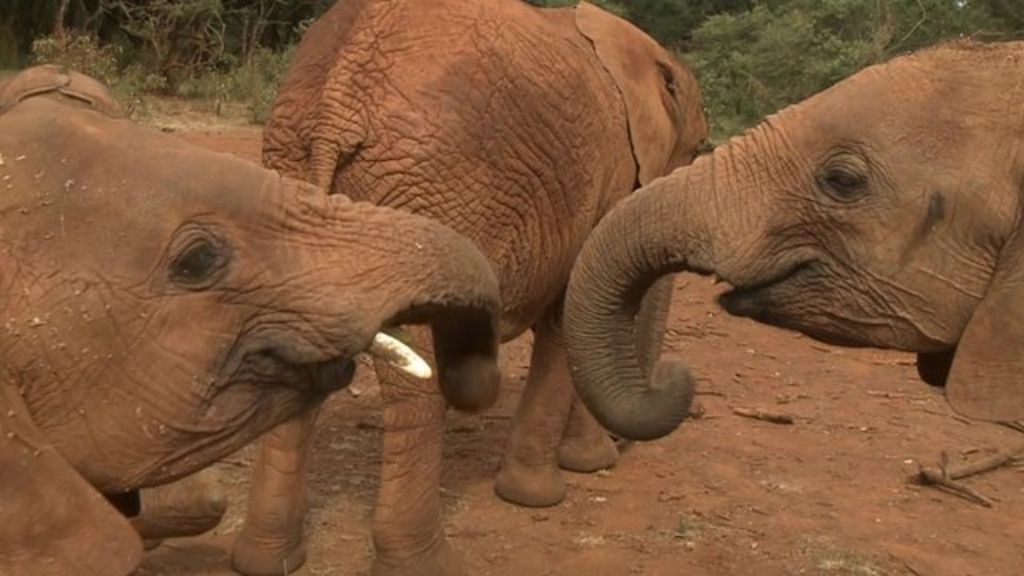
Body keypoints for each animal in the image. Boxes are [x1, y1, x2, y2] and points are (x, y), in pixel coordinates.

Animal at [241, 0, 707, 574]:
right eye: (696, 150)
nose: (675, 378)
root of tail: (338, 97)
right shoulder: (610, 176)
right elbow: (572, 314)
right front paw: (548, 490)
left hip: (294, 171)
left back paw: (264, 559)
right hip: (432, 192)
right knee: (418, 376)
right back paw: (424, 563)